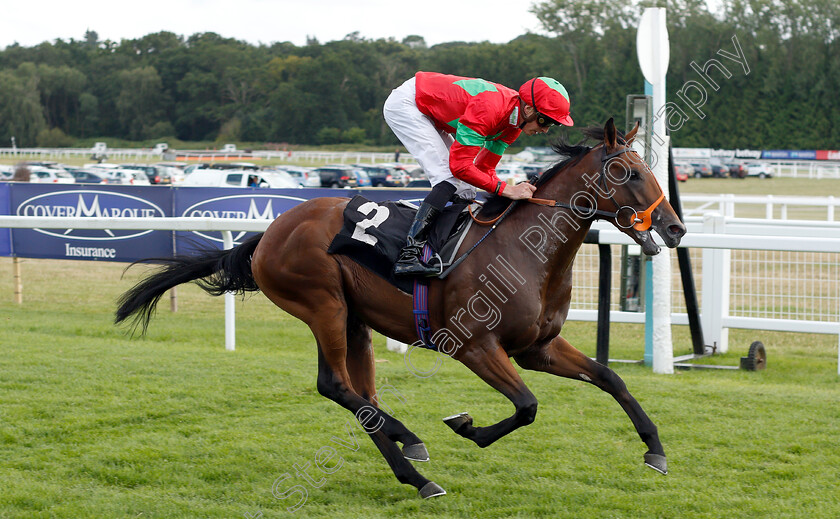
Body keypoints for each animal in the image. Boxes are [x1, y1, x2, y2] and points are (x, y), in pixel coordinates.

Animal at [115, 119, 684, 500]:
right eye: (629, 172)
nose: (675, 228)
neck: (526, 251)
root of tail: (268, 234)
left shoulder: (537, 347)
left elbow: (610, 378)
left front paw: (655, 450)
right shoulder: (474, 347)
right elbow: (526, 406)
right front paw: (466, 426)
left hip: (354, 319)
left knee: (362, 399)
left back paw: (413, 468)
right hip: (322, 304)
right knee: (335, 386)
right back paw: (412, 445)